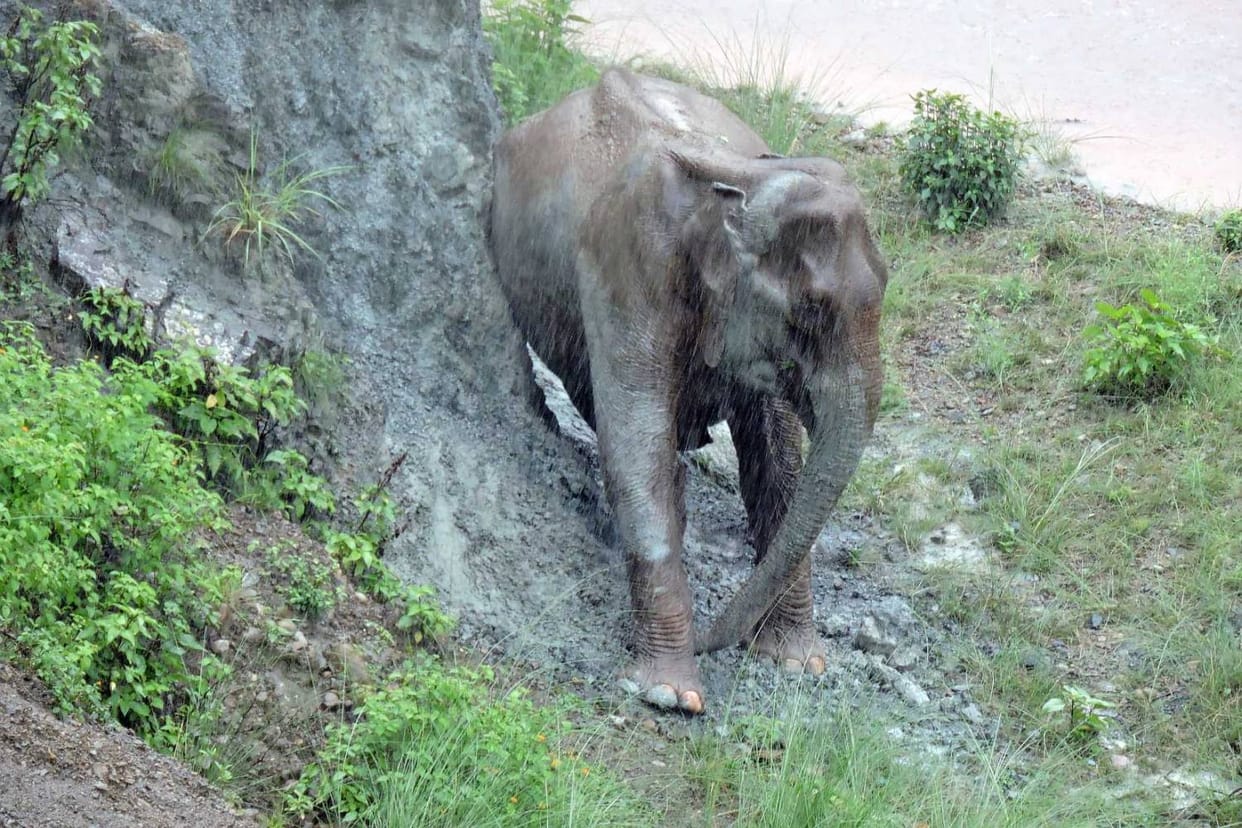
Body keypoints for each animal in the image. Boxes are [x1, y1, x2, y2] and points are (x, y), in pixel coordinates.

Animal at [489, 68, 887, 714]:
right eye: (808, 314)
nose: (712, 638)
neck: (735, 183)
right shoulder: (625, 266)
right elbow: (635, 446)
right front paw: (672, 696)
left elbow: (776, 459)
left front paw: (799, 664)